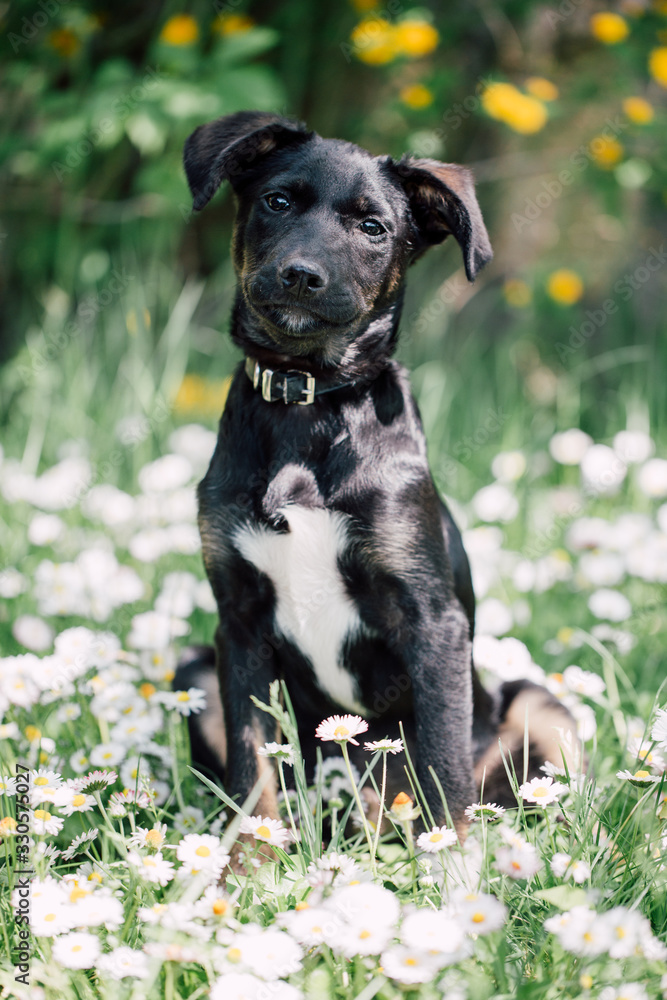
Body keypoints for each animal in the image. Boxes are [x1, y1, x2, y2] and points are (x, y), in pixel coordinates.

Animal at [175, 111, 576, 836]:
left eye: (372, 228)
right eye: (277, 201)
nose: (301, 276)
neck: (309, 402)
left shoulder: (432, 620)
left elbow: (445, 768)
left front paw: (454, 864)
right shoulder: (237, 622)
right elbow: (253, 773)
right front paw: (248, 861)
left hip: (540, 707)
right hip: (195, 669)